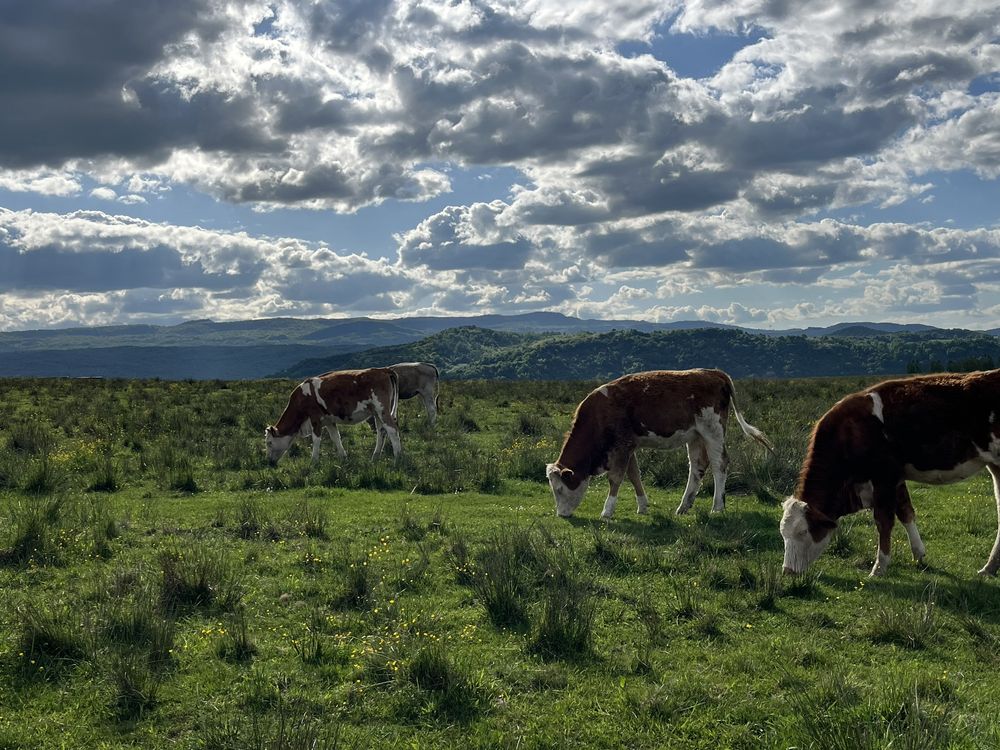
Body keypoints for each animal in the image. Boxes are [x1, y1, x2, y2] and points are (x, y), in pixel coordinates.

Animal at [264, 368, 400, 468]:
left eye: (269, 442)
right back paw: (374, 458)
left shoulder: (315, 418)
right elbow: (336, 438)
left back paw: (398, 459)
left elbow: (316, 440)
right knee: (381, 432)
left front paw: (313, 461)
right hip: (377, 413)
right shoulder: (329, 421)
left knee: (392, 430)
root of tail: (383, 370)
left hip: (382, 409)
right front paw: (344, 458)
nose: (269, 462)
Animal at [548, 372, 772, 524]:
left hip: (713, 431)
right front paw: (642, 506)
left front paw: (607, 511)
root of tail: (714, 373)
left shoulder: (622, 446)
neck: (599, 413)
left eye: (559, 489)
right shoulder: (630, 446)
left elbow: (616, 478)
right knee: (697, 467)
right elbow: (634, 475)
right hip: (696, 436)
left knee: (719, 465)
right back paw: (684, 506)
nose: (561, 515)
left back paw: (717, 507)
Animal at [780, 374, 1000, 580]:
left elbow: (884, 521)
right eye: (783, 533)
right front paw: (918, 554)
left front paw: (879, 567)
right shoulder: (897, 479)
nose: (787, 570)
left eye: (803, 532)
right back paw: (989, 568)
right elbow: (906, 512)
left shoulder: (884, 478)